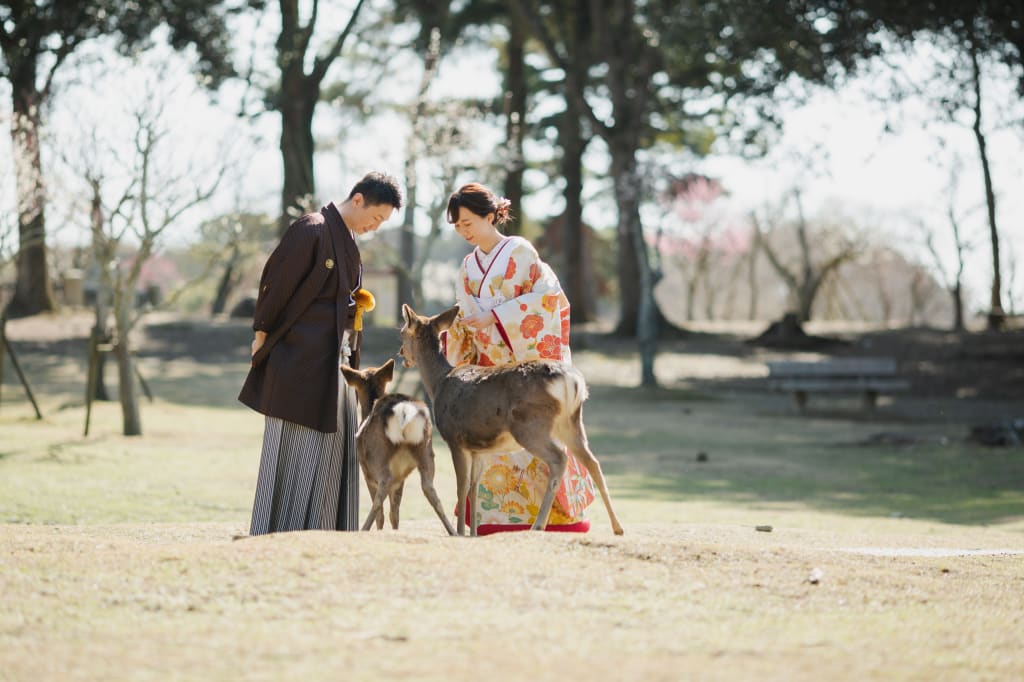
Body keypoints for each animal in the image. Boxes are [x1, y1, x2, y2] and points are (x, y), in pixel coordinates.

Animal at [342, 358, 454, 532]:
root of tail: (403, 410)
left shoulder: (367, 473)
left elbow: (383, 512)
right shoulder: (400, 477)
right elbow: (394, 512)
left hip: (377, 456)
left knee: (382, 490)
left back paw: (364, 529)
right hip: (426, 450)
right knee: (430, 490)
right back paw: (454, 532)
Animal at [399, 303, 622, 536]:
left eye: (402, 332)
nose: (401, 354)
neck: (438, 384)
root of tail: (573, 382)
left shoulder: (455, 438)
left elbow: (461, 487)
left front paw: (459, 533)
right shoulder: (477, 449)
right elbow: (473, 488)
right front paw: (473, 534)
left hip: (530, 425)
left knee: (559, 458)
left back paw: (538, 525)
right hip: (571, 422)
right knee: (593, 462)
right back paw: (617, 527)